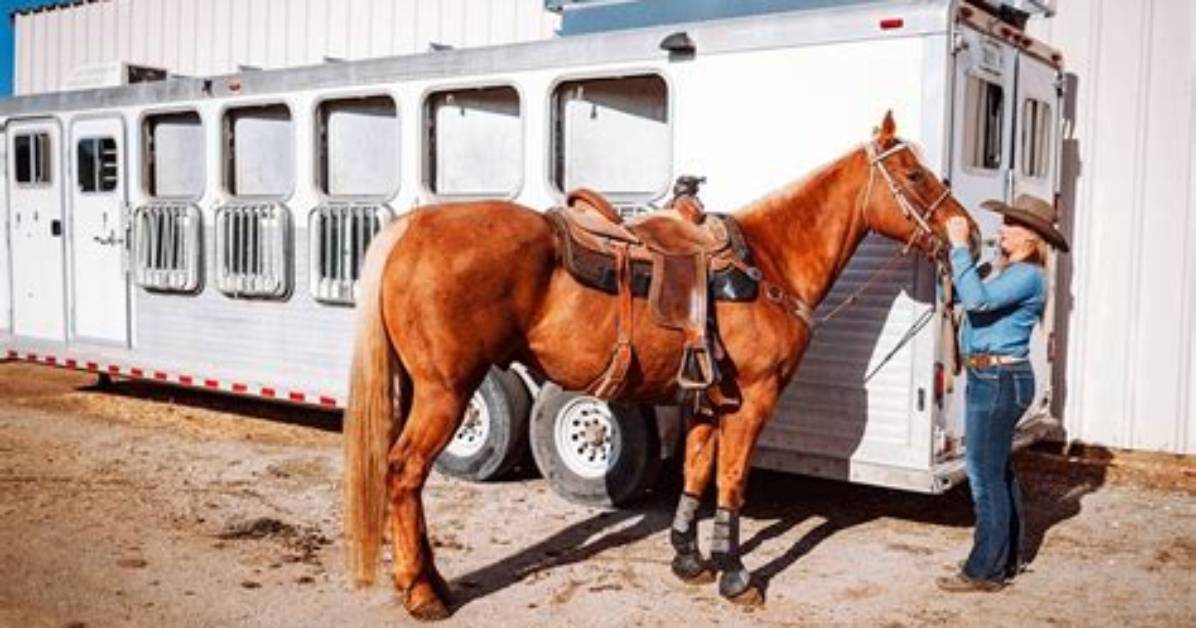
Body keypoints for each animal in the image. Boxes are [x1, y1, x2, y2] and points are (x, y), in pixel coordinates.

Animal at [342, 112, 980, 620]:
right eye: (916, 176)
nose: (968, 233)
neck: (767, 263)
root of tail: (410, 229)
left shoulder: (707, 399)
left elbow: (697, 472)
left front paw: (689, 559)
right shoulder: (755, 398)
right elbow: (732, 480)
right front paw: (735, 575)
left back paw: (431, 580)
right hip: (447, 392)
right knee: (404, 472)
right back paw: (421, 593)